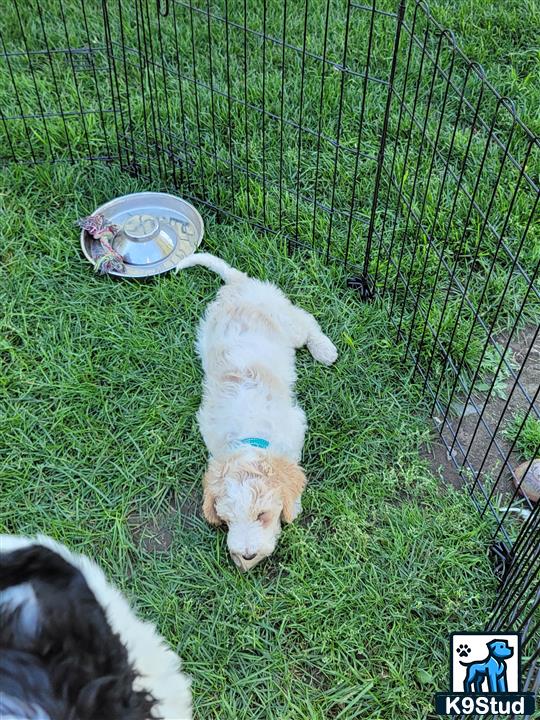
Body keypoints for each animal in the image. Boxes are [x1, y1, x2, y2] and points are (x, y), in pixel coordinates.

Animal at [177, 256, 338, 572]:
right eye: (227, 520)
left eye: (263, 515)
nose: (248, 555)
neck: (248, 436)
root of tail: (238, 283)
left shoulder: (295, 426)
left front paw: (294, 506)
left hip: (286, 321)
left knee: (307, 322)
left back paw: (324, 349)